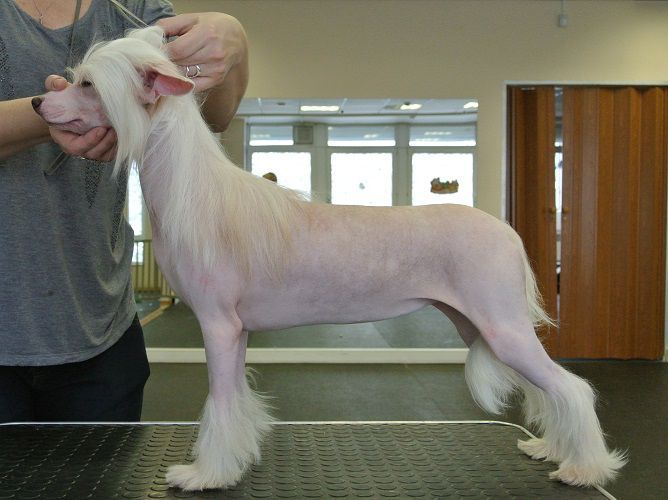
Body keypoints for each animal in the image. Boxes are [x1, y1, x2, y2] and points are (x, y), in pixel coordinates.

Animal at [32, 26, 626, 491]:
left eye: (87, 85)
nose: (39, 103)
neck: (196, 190)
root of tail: (506, 231)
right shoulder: (238, 332)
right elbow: (238, 400)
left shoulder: (218, 325)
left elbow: (220, 403)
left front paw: (205, 475)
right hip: (481, 324)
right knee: (549, 390)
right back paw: (552, 449)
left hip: (502, 326)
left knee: (571, 388)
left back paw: (585, 468)